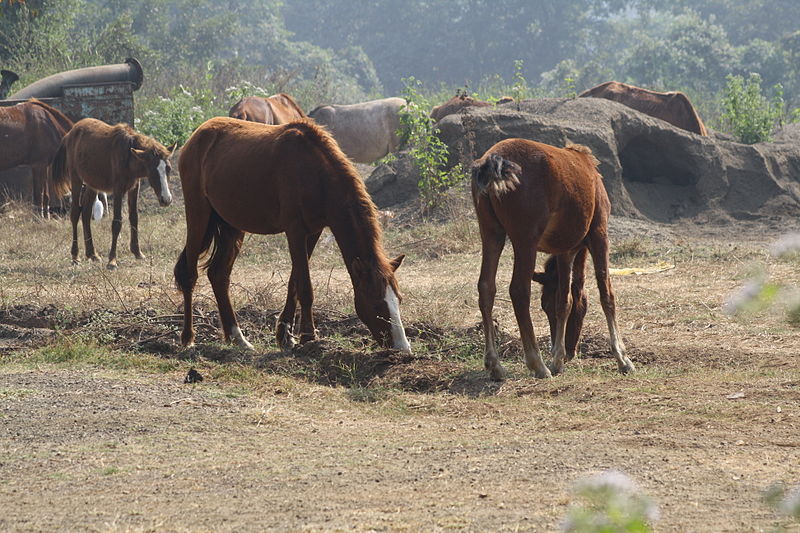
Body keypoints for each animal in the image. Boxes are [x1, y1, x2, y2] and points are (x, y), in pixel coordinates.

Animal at [50, 116, 176, 266]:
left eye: (168, 169)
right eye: (152, 171)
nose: (166, 199)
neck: (128, 154)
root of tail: (69, 134)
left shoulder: (134, 187)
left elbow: (134, 218)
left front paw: (137, 252)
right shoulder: (118, 189)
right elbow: (117, 223)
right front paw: (112, 260)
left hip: (92, 184)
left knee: (85, 213)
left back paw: (92, 254)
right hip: (76, 179)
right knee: (75, 213)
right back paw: (75, 256)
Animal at [472, 137, 636, 378]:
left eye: (545, 305)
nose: (570, 351)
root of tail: (494, 159)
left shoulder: (565, 251)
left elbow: (564, 300)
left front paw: (557, 358)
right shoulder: (599, 235)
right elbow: (607, 295)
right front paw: (622, 358)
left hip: (492, 233)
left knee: (486, 287)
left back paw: (495, 364)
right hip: (525, 240)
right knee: (518, 290)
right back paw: (537, 363)